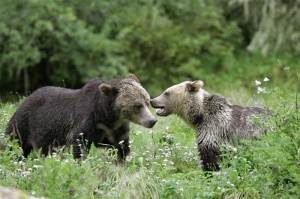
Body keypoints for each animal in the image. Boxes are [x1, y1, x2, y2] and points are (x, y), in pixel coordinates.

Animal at [5, 73, 157, 162]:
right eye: (137, 105)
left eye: (147, 101)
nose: (152, 120)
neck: (107, 116)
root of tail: (27, 97)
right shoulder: (87, 122)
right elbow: (80, 146)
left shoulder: (115, 129)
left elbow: (121, 147)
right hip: (24, 123)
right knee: (13, 144)